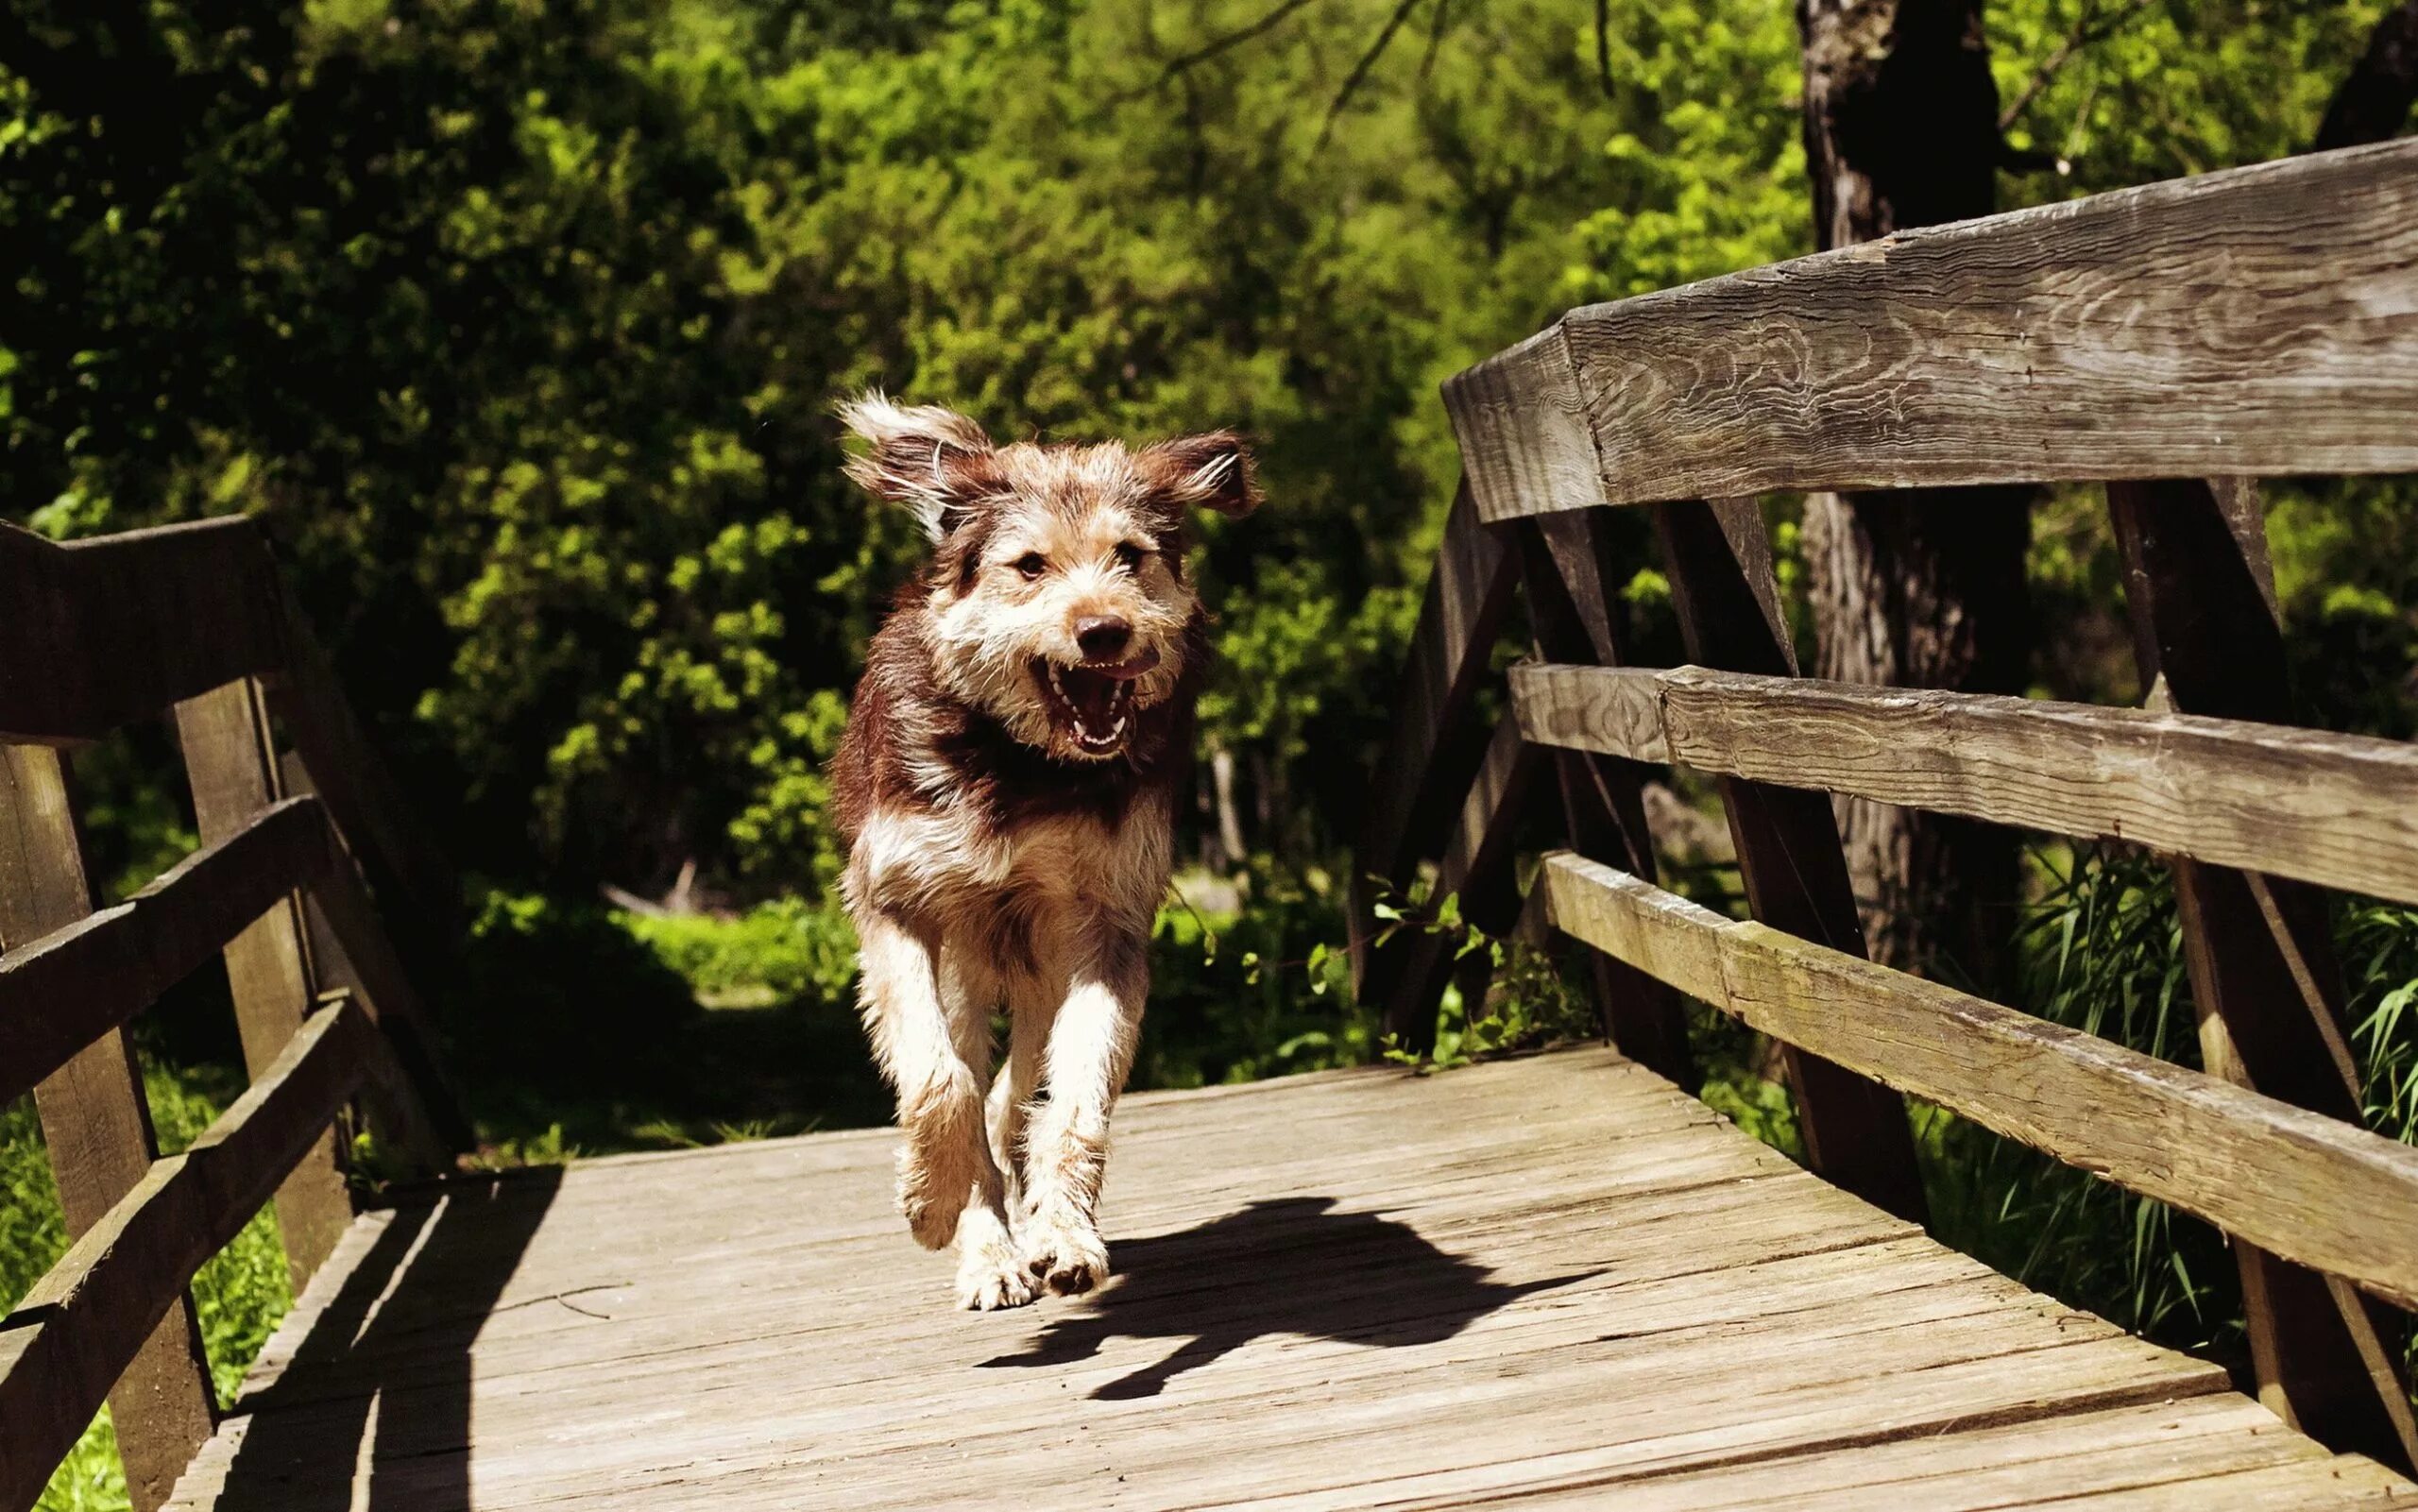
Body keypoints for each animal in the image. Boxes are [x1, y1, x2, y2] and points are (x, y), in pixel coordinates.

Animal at [826, 394, 1257, 1306]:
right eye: (1029, 566)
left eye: (1130, 556)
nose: (1104, 632)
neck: (1024, 765)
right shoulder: (898, 904)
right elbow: (938, 1080)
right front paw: (930, 1200)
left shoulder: (1107, 924)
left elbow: (1074, 1098)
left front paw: (1065, 1233)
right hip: (965, 966)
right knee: (968, 1080)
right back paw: (987, 1249)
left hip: (1038, 967)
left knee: (1014, 1097)